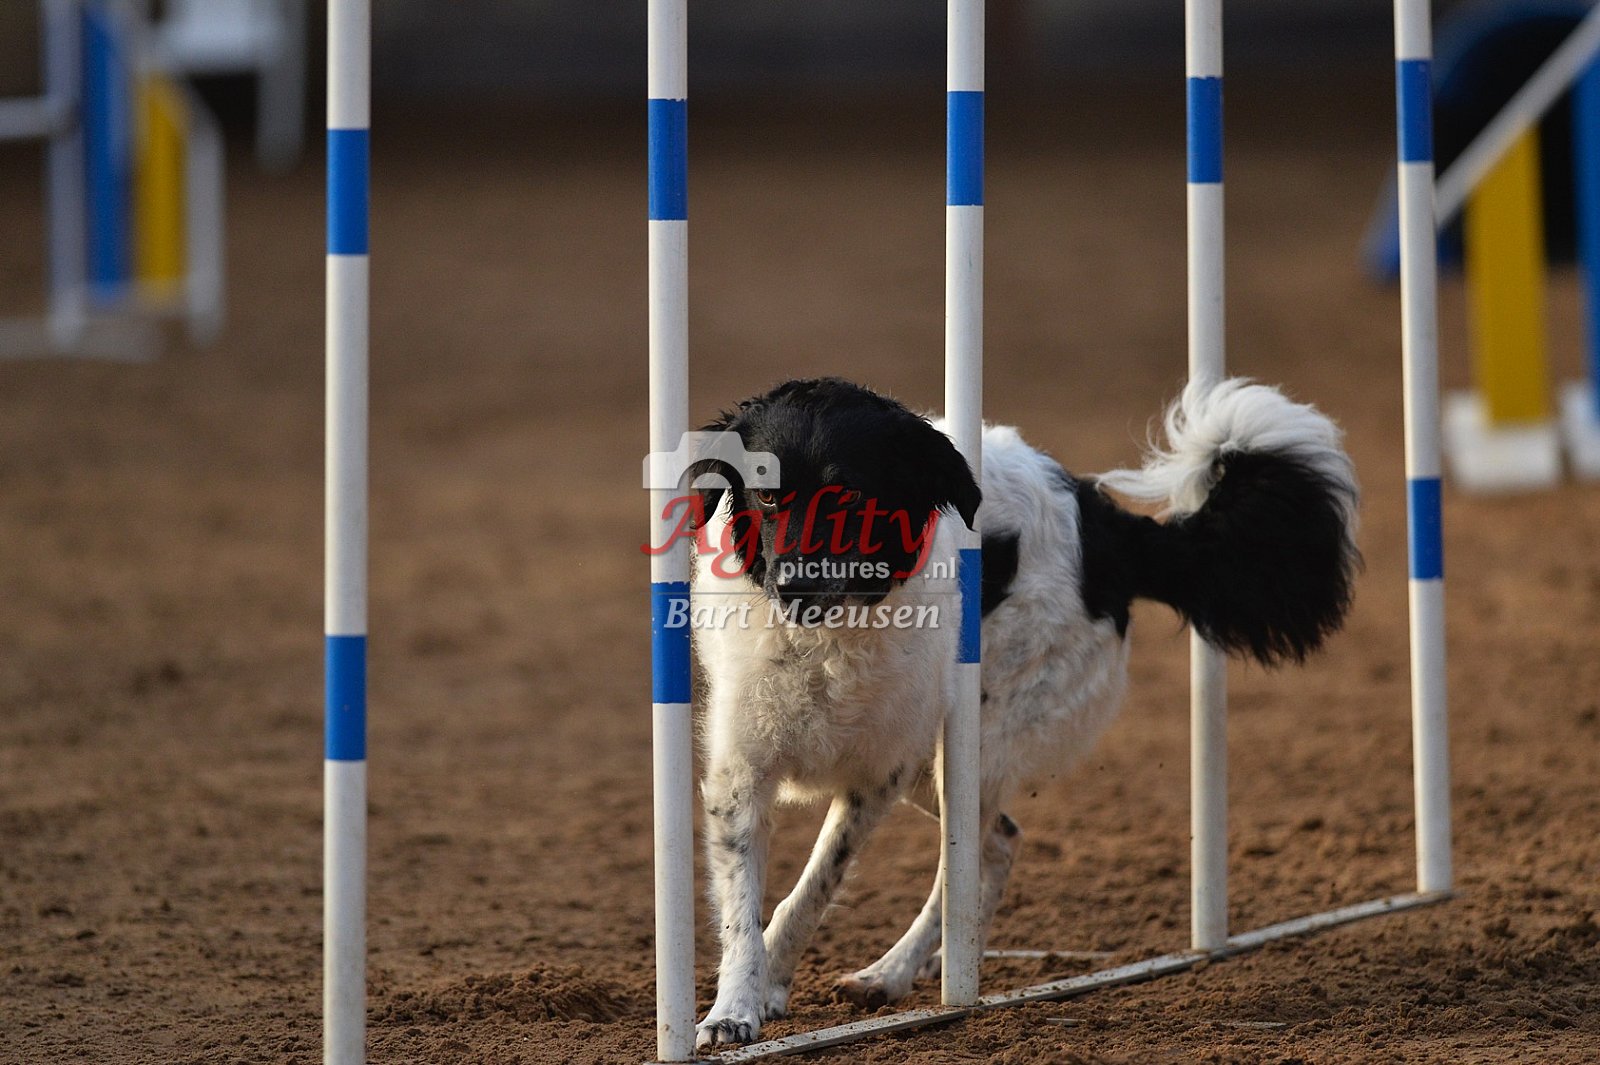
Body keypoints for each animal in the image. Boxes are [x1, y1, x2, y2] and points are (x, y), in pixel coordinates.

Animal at [683, 376, 1358, 1049]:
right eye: (766, 494)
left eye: (850, 496)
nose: (793, 586)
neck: (826, 639)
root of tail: (1106, 526)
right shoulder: (741, 775)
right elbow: (744, 910)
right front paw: (735, 1008)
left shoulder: (878, 778)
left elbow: (810, 892)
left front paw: (768, 987)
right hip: (941, 767)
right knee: (1000, 841)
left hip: (975, 745)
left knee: (975, 854)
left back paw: (894, 972)